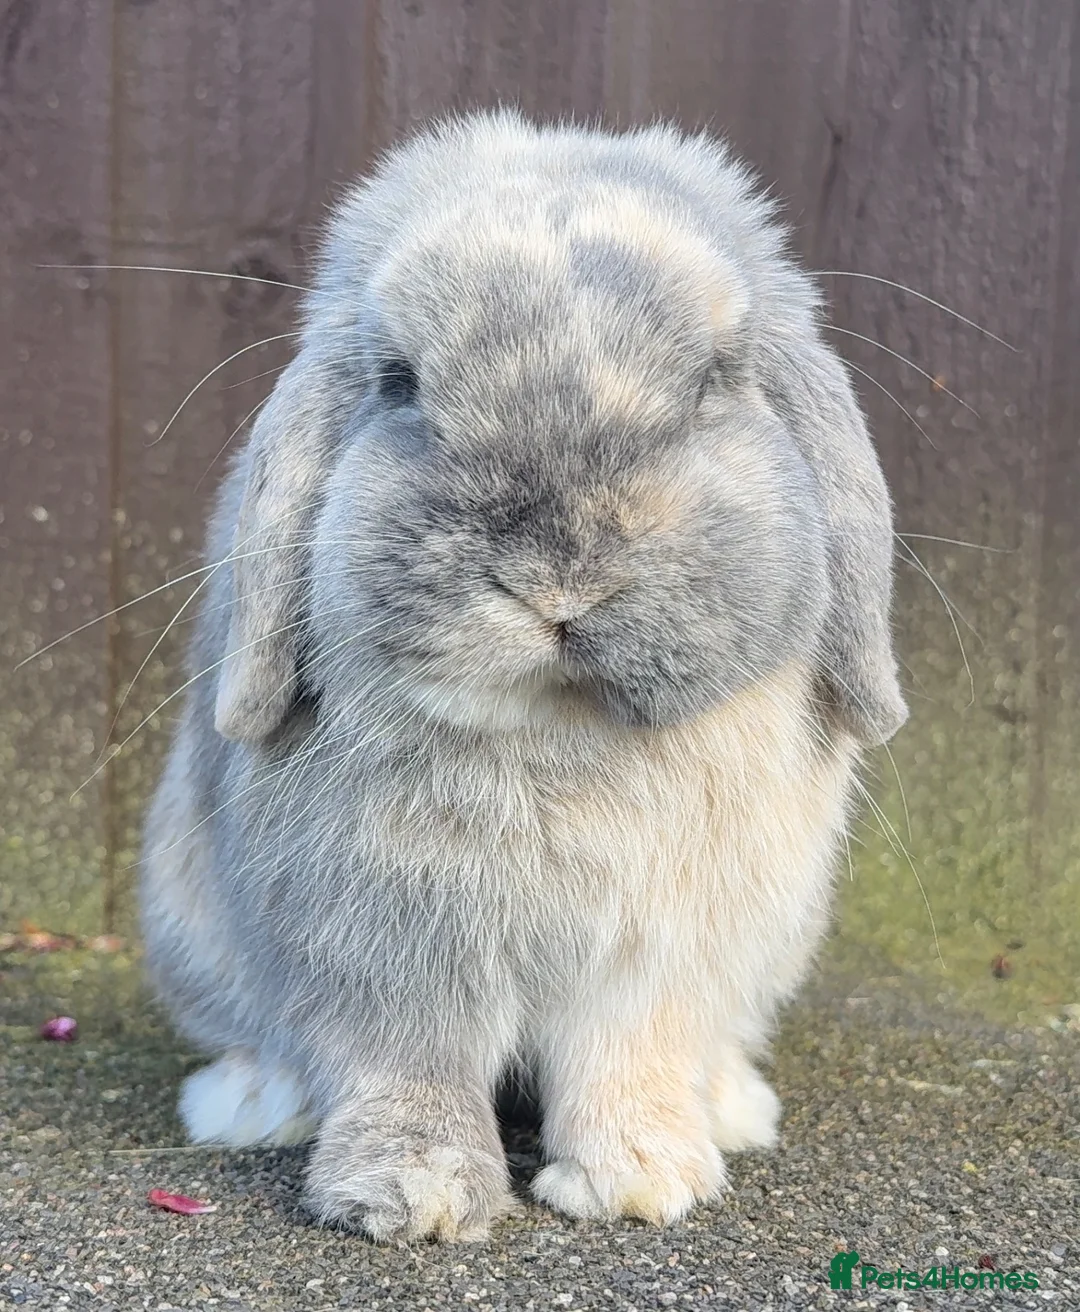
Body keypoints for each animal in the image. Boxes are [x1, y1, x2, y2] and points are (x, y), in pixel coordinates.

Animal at [139, 108, 907, 1242]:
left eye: (715, 382)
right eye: (399, 382)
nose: (559, 576)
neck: (562, 727)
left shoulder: (654, 953)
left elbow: (628, 1057)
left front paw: (640, 1180)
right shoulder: (384, 941)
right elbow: (407, 1067)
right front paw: (410, 1198)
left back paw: (727, 1107)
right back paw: (252, 1103)